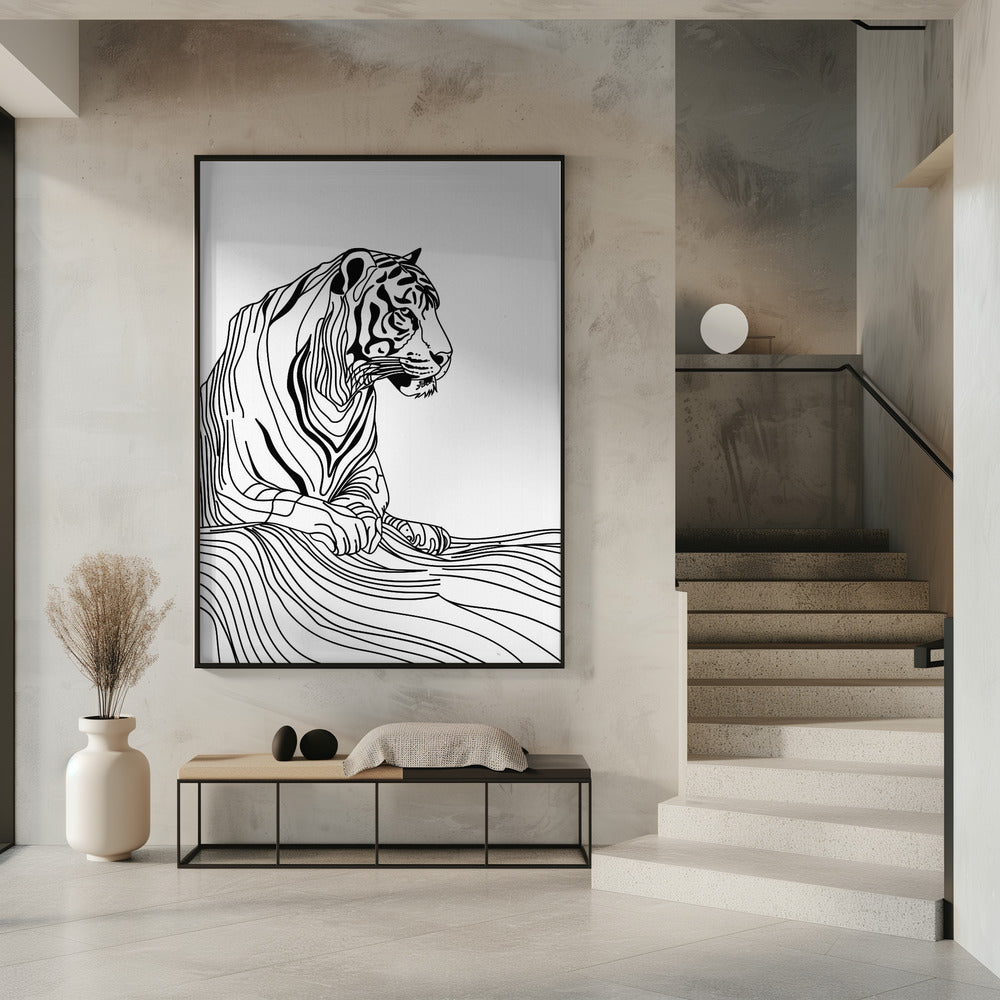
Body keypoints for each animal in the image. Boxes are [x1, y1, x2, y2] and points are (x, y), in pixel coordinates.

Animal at [199, 247, 453, 556]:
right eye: (405, 312)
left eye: (435, 309)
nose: (447, 355)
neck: (337, 397)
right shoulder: (235, 485)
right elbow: (296, 502)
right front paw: (343, 524)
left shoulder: (368, 469)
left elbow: (364, 498)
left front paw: (363, 522)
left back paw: (422, 531)